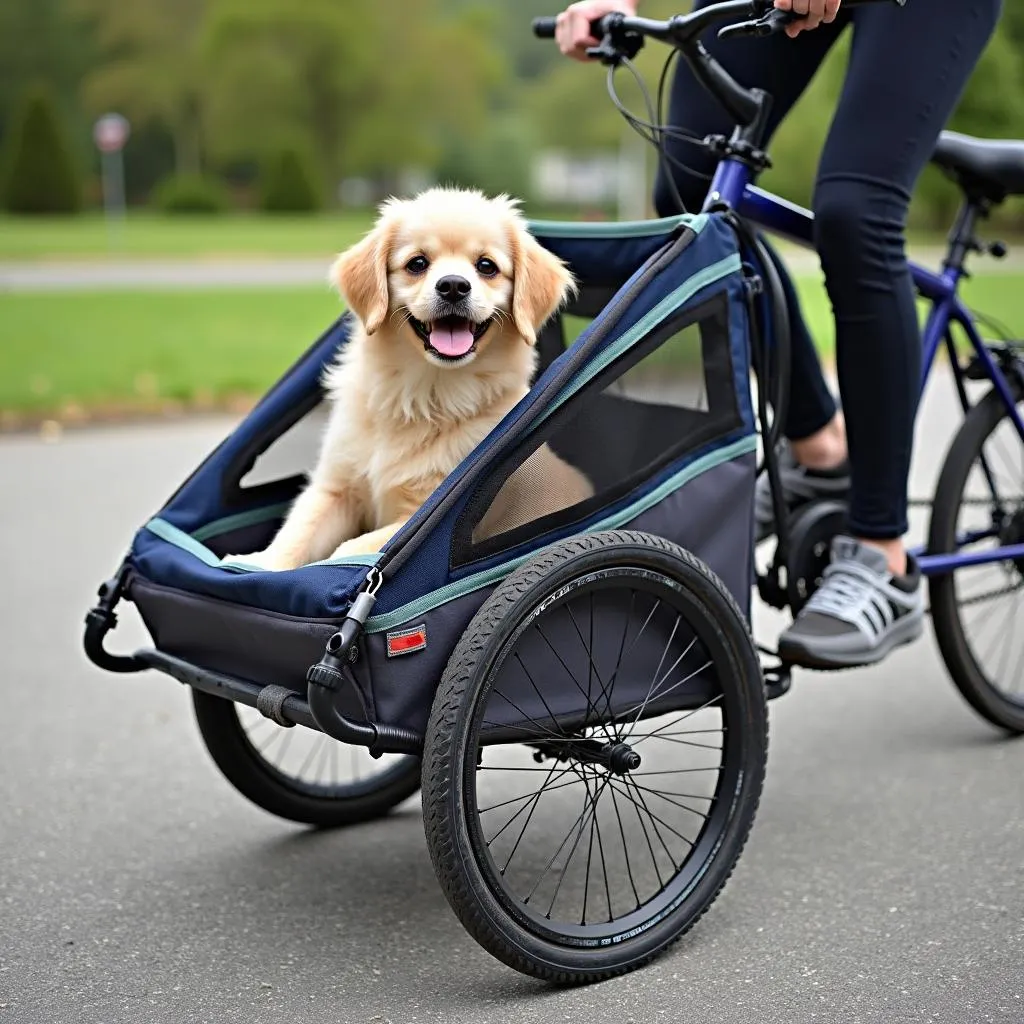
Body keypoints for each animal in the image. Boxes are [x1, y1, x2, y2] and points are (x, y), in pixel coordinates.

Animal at [233, 188, 598, 573]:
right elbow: (298, 530)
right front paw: (256, 564)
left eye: (486, 266)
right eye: (417, 263)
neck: (423, 391)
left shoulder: (422, 516)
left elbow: (352, 551)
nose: (453, 286)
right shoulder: (335, 487)